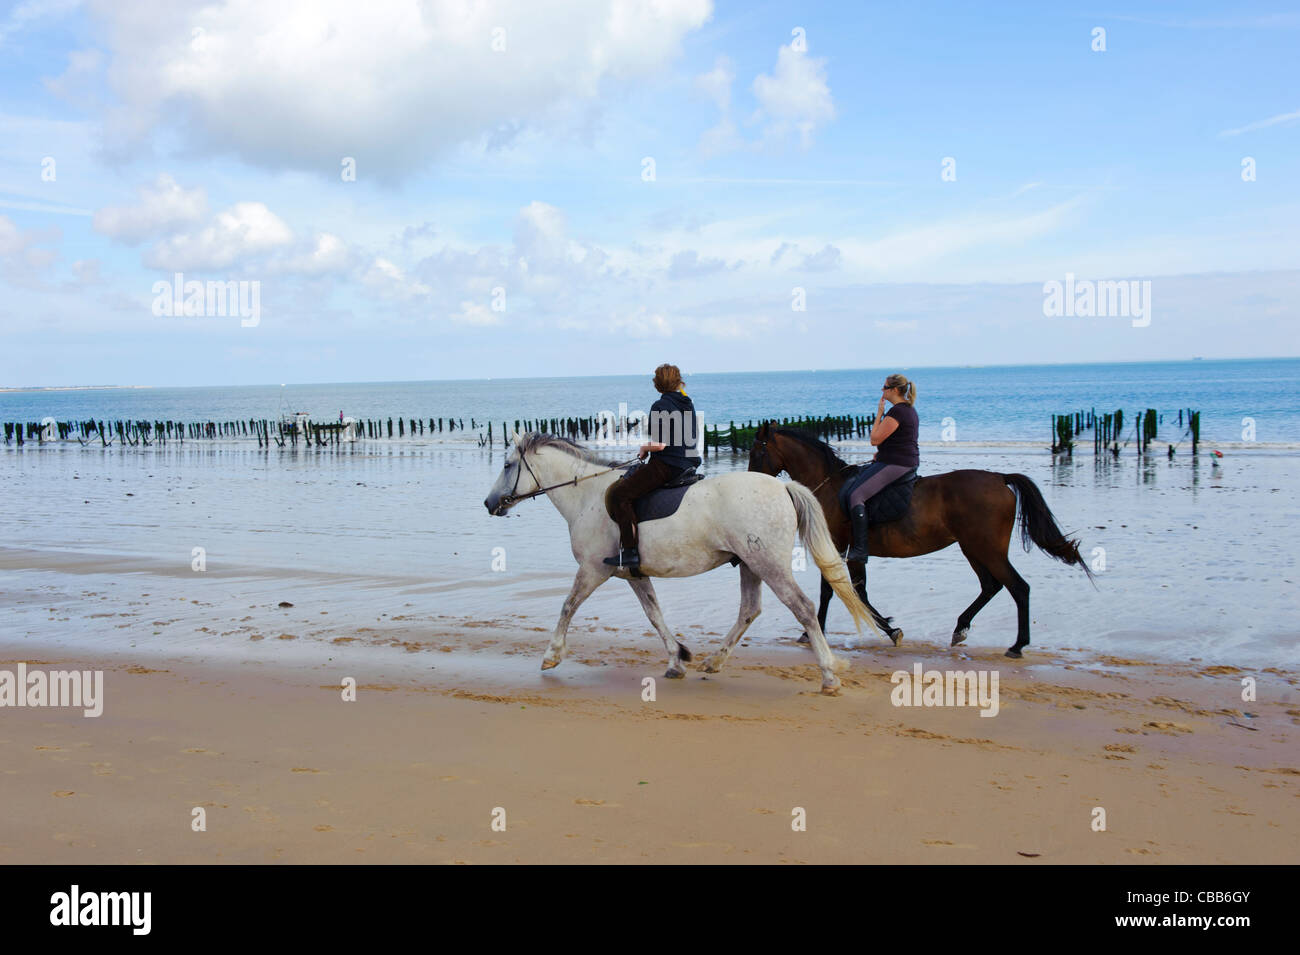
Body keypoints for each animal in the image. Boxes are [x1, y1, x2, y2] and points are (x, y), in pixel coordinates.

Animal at [484, 432, 881, 694]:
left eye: (507, 465)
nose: (489, 504)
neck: (588, 495)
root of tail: (782, 487)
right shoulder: (633, 573)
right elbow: (654, 614)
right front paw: (677, 659)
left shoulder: (595, 569)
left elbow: (568, 606)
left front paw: (551, 655)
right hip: (750, 563)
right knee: (750, 609)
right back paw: (715, 661)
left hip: (768, 562)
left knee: (802, 608)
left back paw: (828, 675)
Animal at [748, 423, 1094, 658]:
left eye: (757, 450)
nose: (749, 480)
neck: (830, 487)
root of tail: (999, 478)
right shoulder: (853, 552)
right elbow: (858, 590)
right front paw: (891, 629)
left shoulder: (838, 546)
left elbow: (832, 590)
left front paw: (813, 633)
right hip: (973, 548)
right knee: (991, 586)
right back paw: (960, 629)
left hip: (986, 548)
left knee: (1018, 588)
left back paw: (1017, 645)